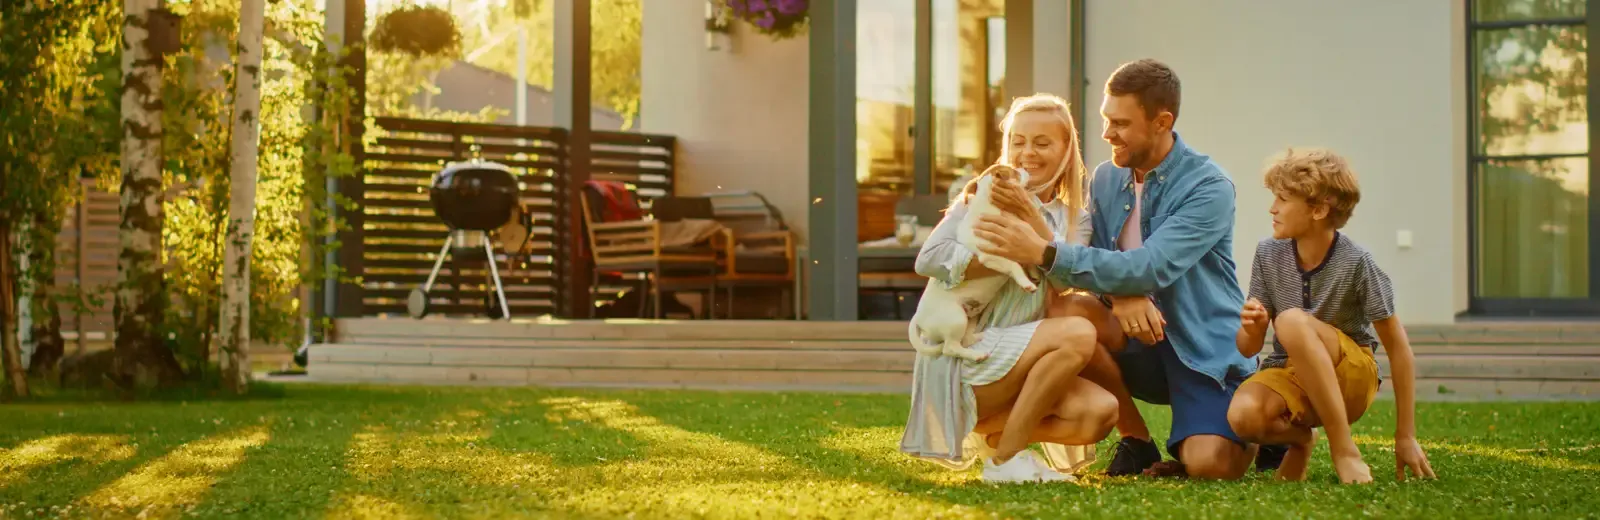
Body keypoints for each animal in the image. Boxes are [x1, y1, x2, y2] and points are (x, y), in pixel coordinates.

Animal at [908, 163, 1043, 360]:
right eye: (1015, 172)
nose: (1024, 168)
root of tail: (918, 318)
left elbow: (1026, 257)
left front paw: (1033, 271)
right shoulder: (991, 256)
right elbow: (1014, 265)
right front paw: (1026, 282)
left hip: (969, 318)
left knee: (965, 340)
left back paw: (979, 337)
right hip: (956, 319)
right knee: (950, 348)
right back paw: (976, 355)